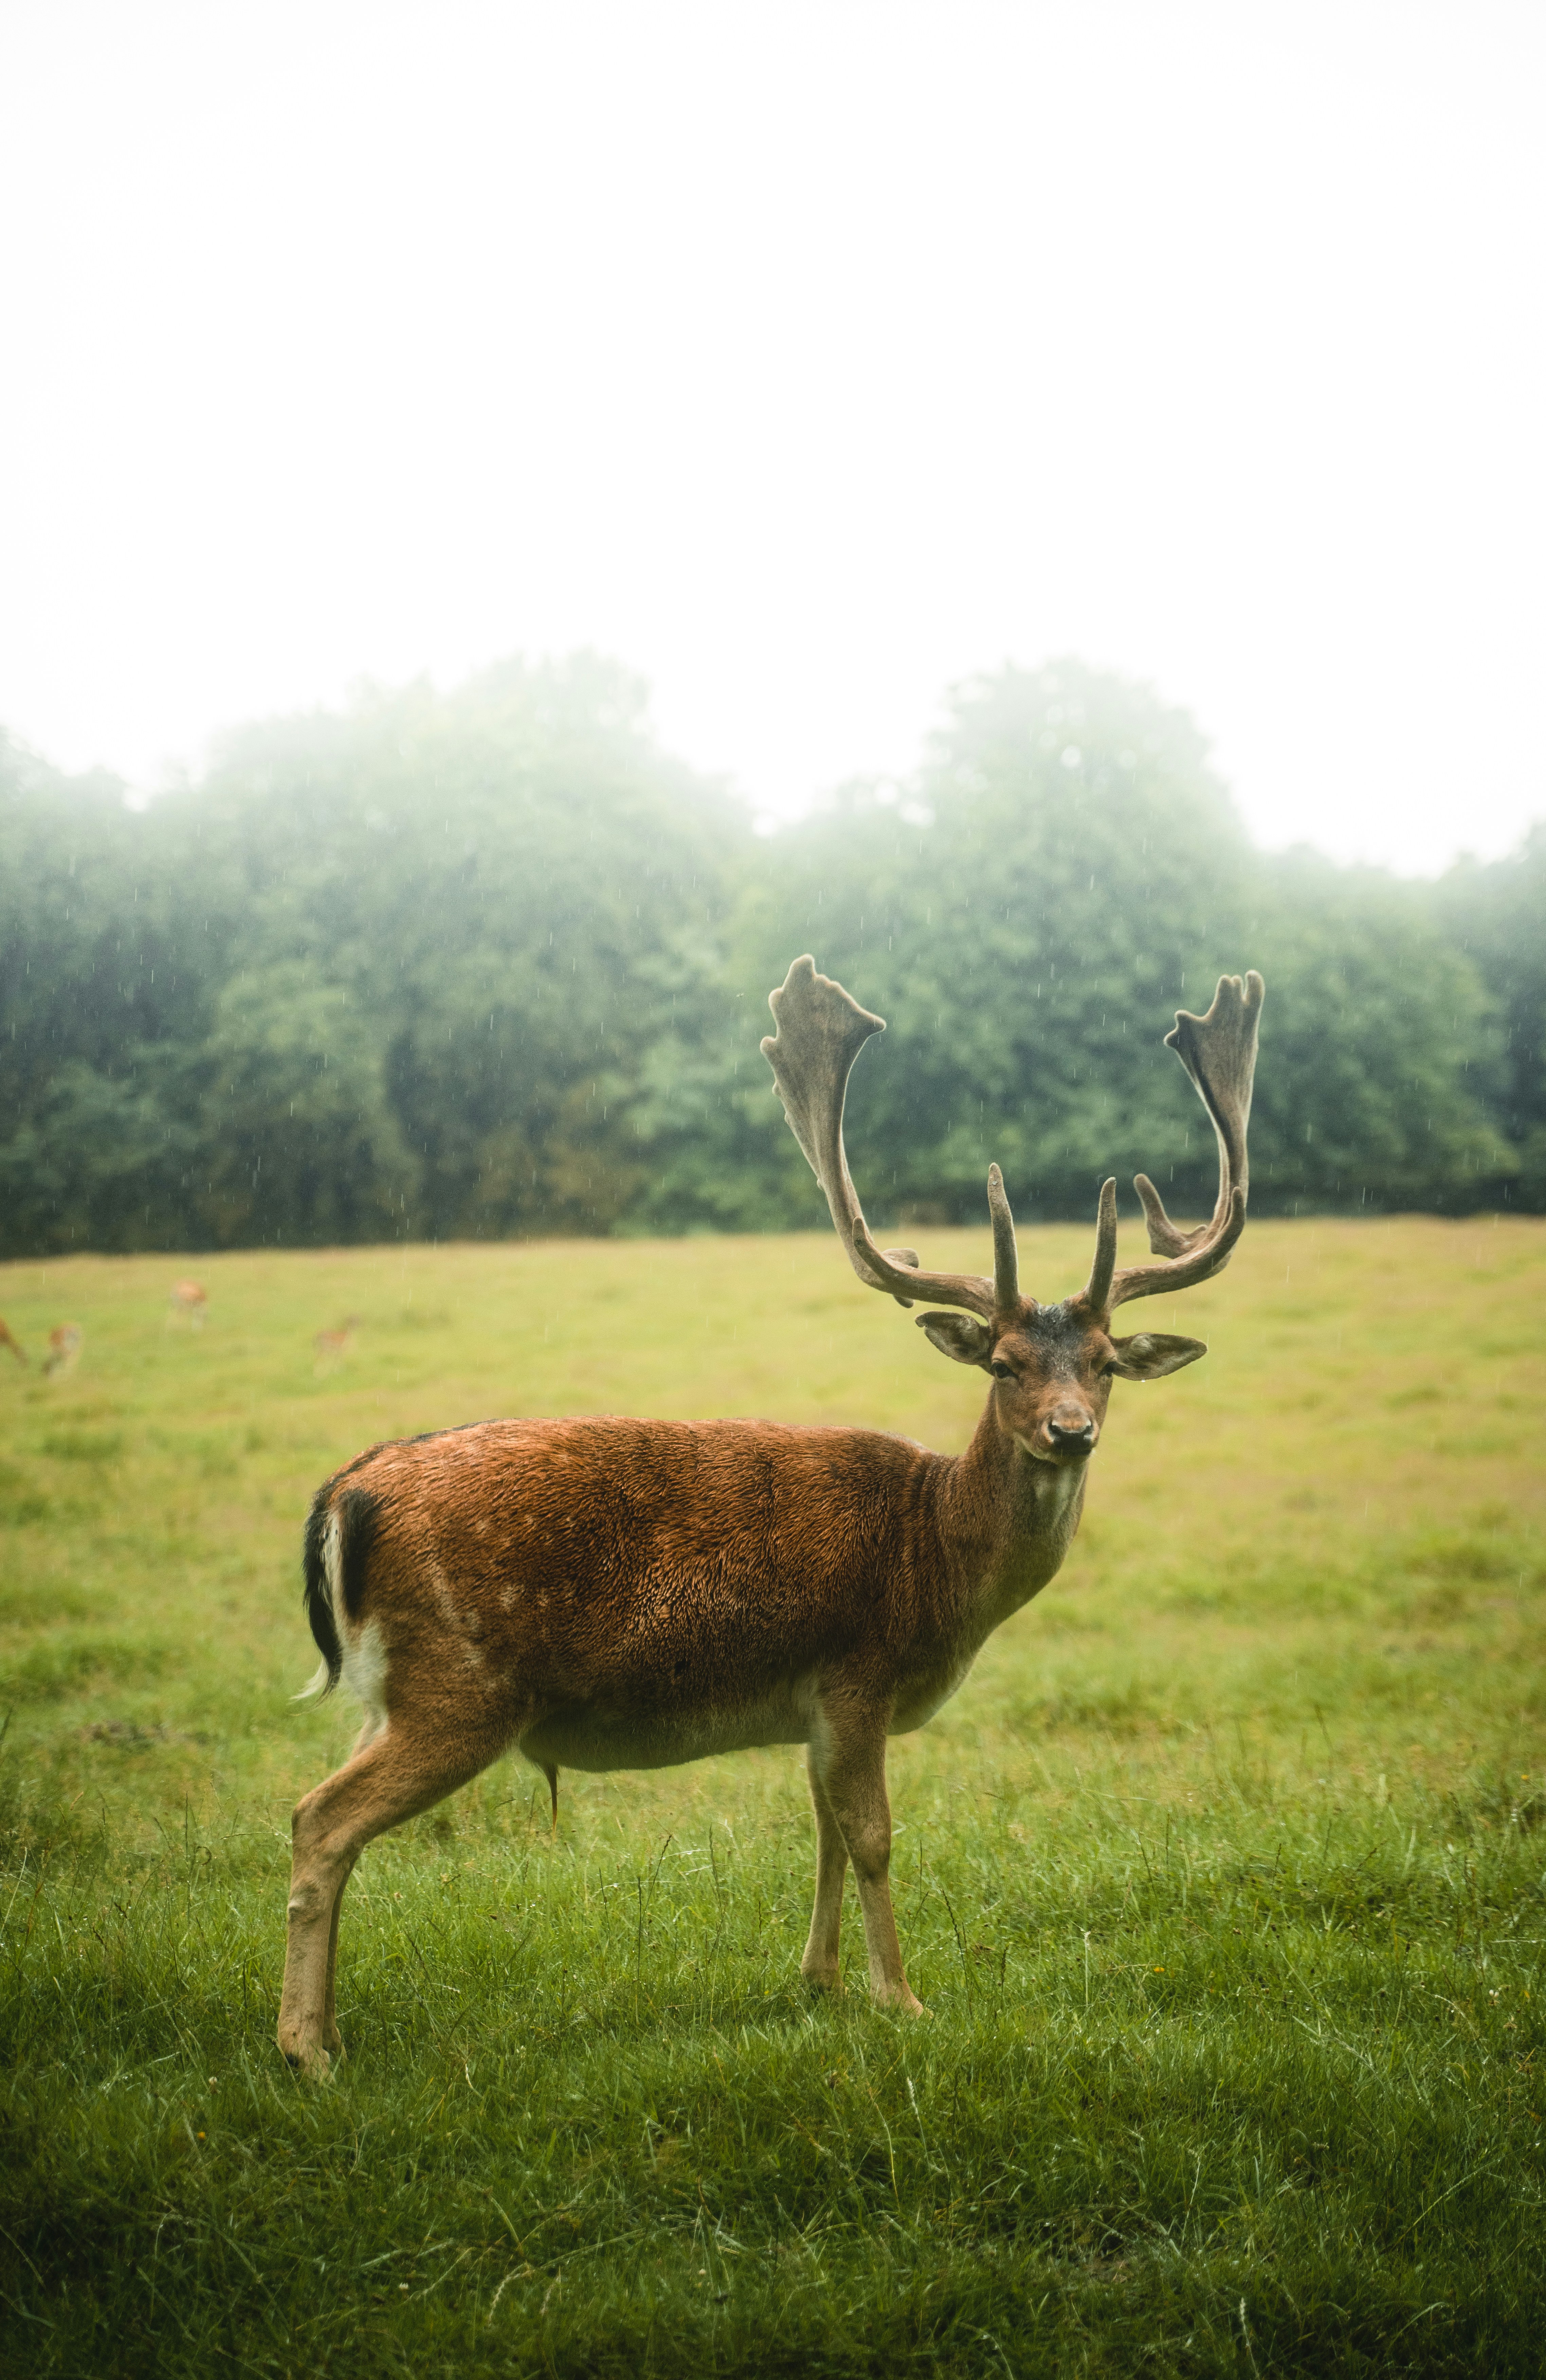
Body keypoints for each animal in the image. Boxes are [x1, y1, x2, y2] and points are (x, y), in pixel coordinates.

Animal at [278, 956, 1263, 2076]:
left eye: (1102, 1364)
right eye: (1005, 1364)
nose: (1070, 1431)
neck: (938, 1563)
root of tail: (346, 1492)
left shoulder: (815, 1702)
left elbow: (825, 1828)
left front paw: (820, 1980)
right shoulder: (856, 1666)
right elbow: (873, 1834)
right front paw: (902, 1999)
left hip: (394, 1688)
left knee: (327, 1813)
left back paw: (329, 2029)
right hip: (461, 1683)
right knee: (319, 1819)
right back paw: (307, 2051)